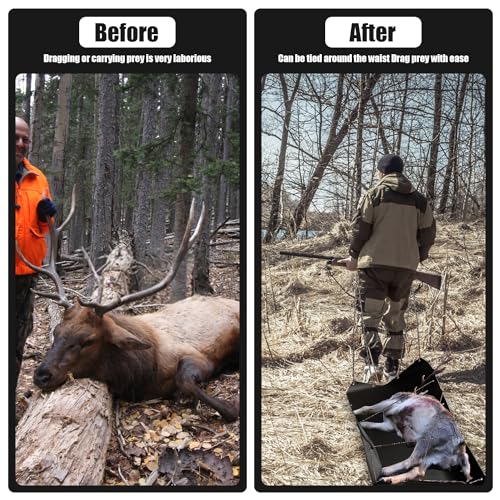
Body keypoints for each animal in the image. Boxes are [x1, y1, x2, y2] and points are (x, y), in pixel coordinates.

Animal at [16, 199, 239, 422]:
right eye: (56, 331)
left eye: (88, 341)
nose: (42, 375)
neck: (145, 373)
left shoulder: (198, 356)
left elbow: (184, 380)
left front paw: (231, 407)